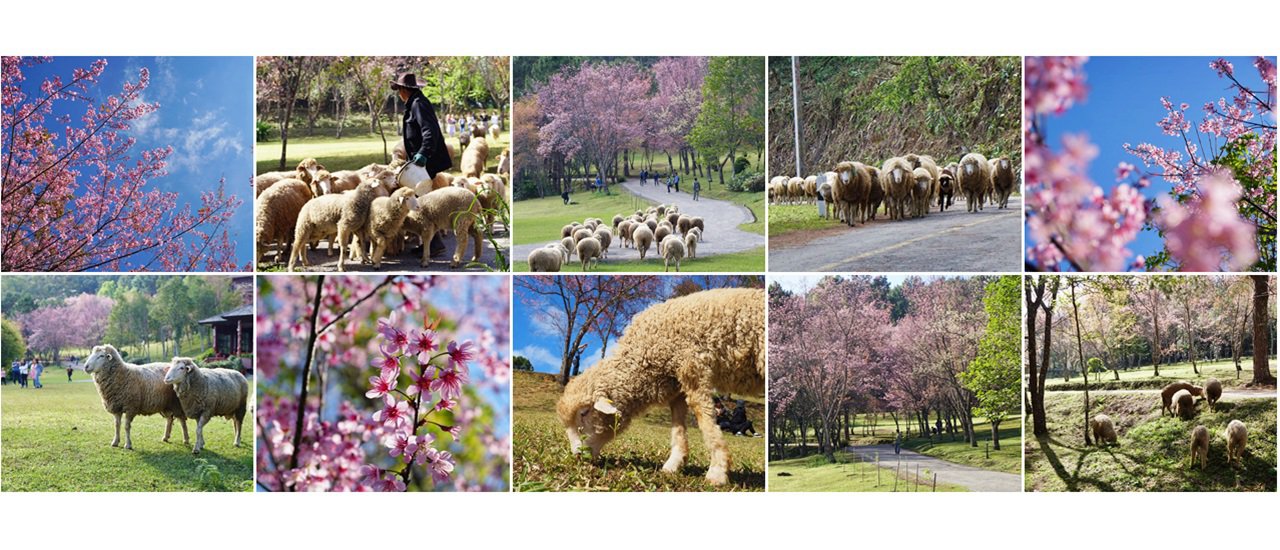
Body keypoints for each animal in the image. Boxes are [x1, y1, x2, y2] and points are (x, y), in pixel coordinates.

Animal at [558, 287, 762, 486]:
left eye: (584, 413)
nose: (577, 456)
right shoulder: (676, 384)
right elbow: (678, 425)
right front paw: (674, 463)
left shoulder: (692, 368)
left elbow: (704, 417)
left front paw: (718, 471)